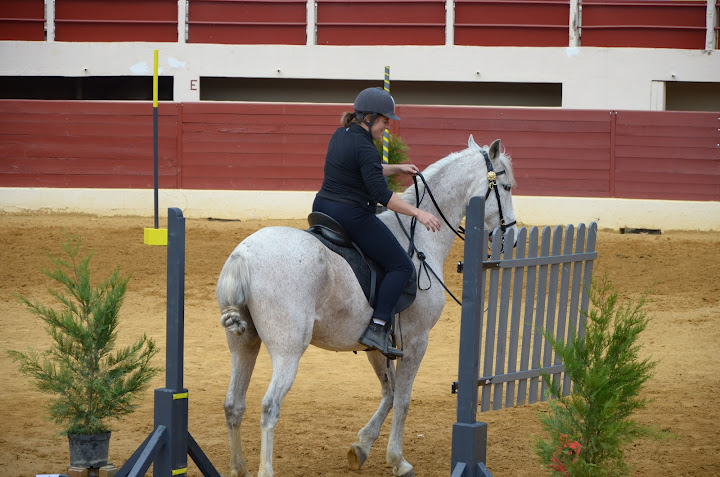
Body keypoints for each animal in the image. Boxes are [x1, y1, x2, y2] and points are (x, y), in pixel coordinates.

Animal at [215, 135, 516, 476]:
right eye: (506, 186)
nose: (511, 234)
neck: (419, 240)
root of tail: (243, 255)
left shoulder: (378, 344)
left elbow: (390, 392)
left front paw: (361, 446)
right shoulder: (417, 340)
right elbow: (403, 399)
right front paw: (398, 459)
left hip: (243, 344)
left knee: (234, 405)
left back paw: (238, 467)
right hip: (287, 350)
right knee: (269, 407)